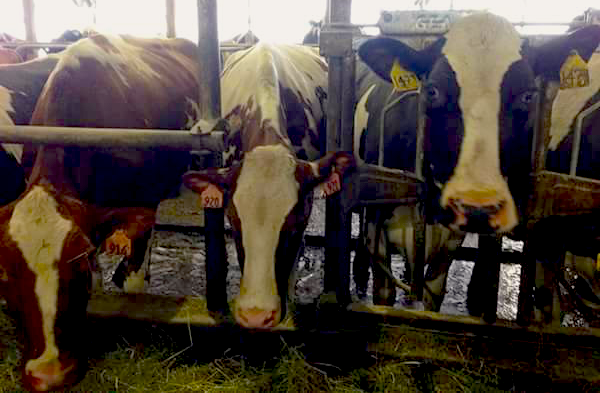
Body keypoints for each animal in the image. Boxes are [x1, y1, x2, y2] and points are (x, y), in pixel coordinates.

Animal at [354, 12, 600, 310]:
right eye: (432, 91)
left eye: (528, 95)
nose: (478, 209)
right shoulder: (376, 219)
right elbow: (384, 293)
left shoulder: (450, 240)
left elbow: (433, 291)